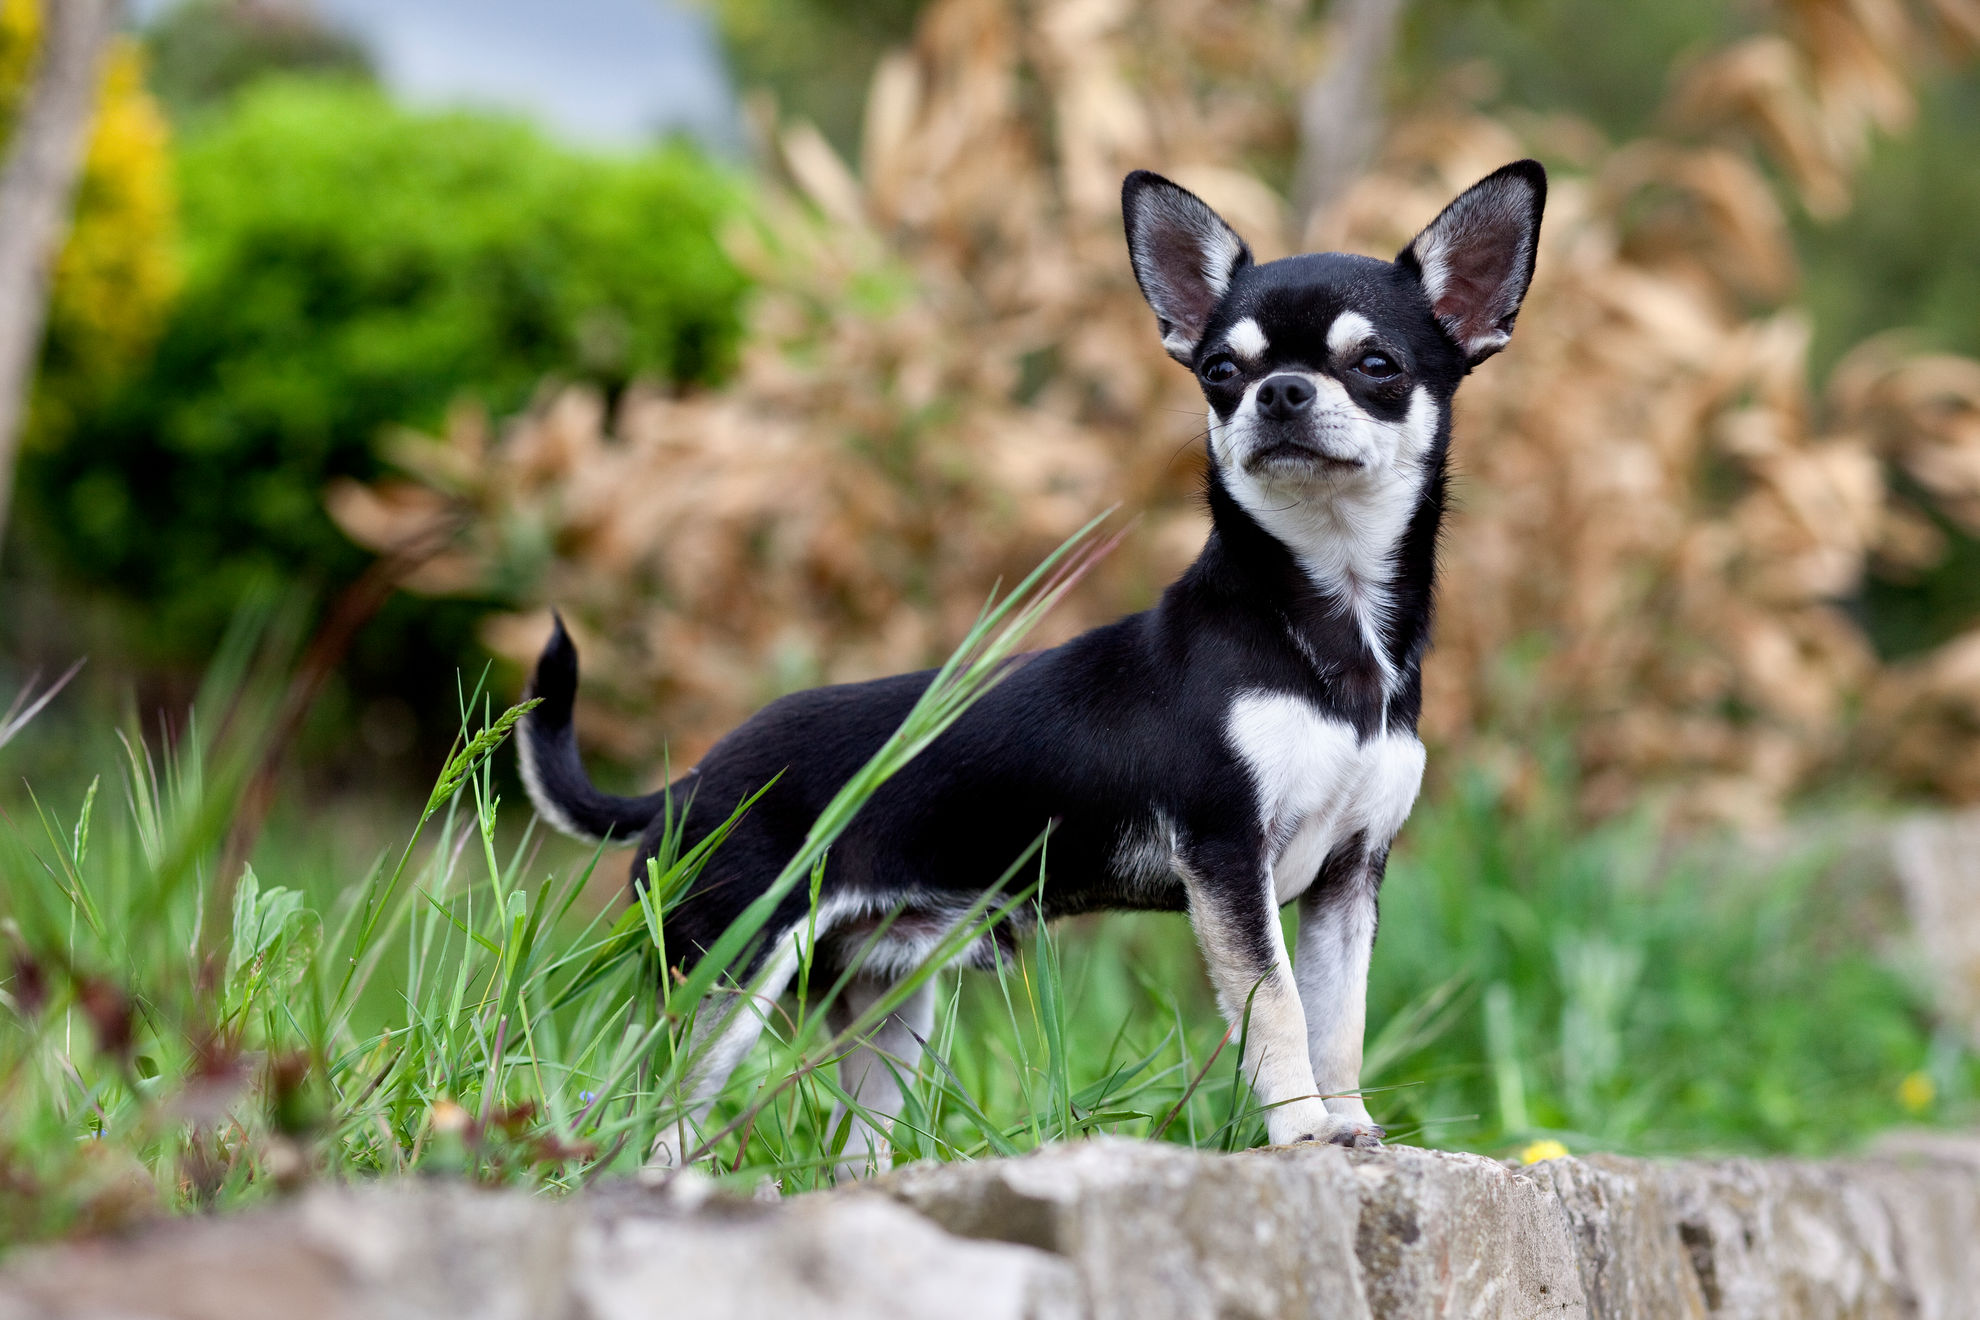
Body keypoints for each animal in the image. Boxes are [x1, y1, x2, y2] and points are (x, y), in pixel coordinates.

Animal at [522, 162, 1544, 1163]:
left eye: (1377, 365)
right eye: (1221, 371)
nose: (1281, 391)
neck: (1328, 624)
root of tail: (688, 783)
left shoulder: (1349, 876)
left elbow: (1341, 1020)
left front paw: (1348, 1121)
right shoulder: (1226, 861)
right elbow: (1279, 1010)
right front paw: (1300, 1130)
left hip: (885, 1005)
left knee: (854, 1148)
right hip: (724, 979)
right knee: (649, 1125)